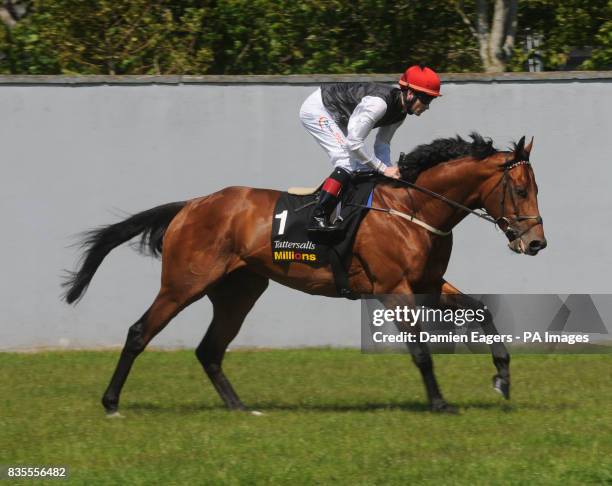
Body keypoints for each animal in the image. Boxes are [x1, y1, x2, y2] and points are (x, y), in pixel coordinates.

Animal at [64, 133, 548, 414]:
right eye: (520, 188)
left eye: (535, 188)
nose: (536, 243)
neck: (414, 208)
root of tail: (191, 205)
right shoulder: (394, 289)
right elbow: (420, 350)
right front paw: (440, 403)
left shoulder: (428, 284)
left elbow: (482, 311)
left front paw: (502, 379)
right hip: (185, 282)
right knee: (140, 332)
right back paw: (111, 403)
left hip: (239, 291)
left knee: (209, 349)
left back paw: (241, 408)